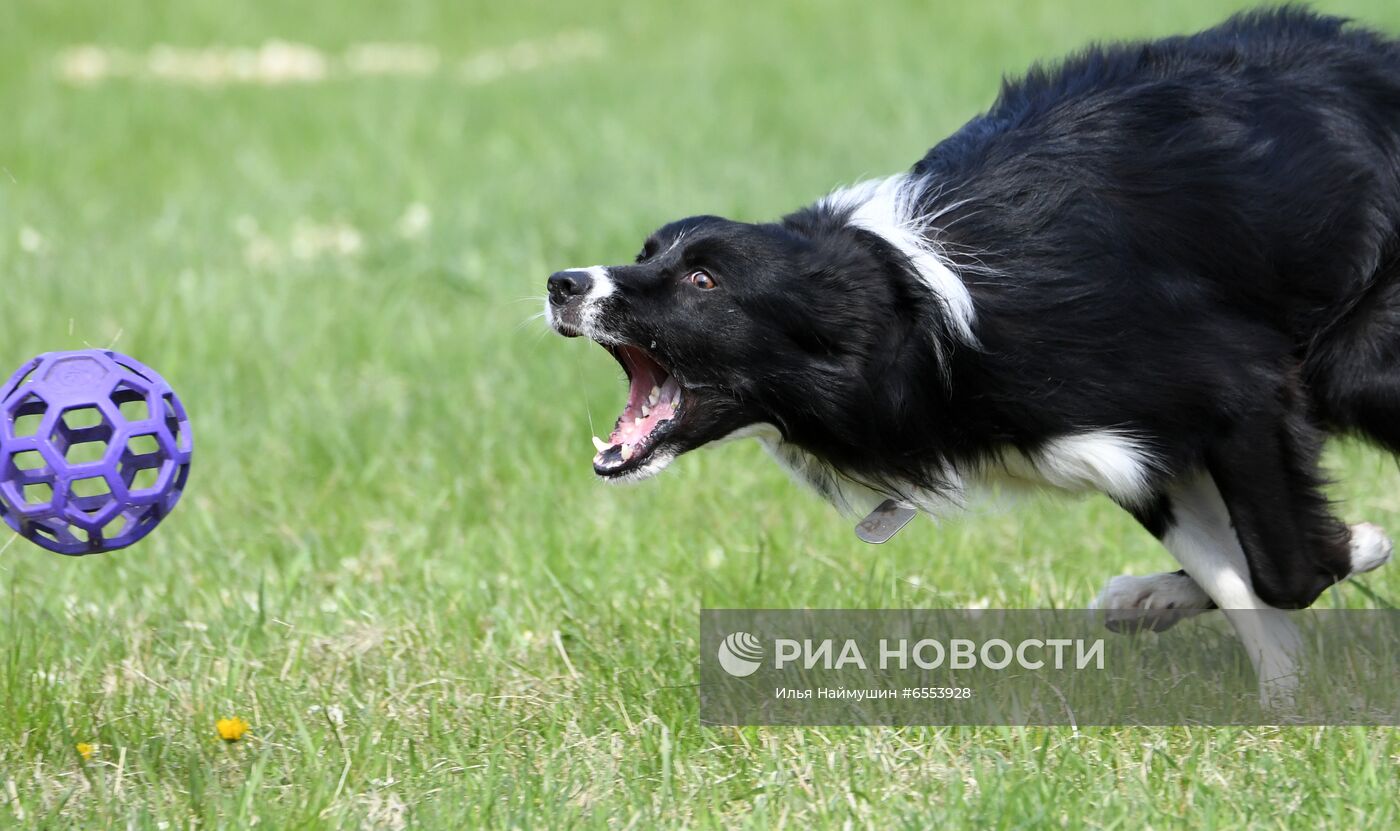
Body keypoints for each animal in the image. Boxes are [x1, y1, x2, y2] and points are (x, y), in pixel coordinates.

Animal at [546, 9, 1400, 702]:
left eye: (703, 279)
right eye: (647, 252)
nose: (562, 283)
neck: (918, 317)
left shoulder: (1237, 386)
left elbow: (1282, 571)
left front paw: (1357, 546)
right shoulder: (1131, 452)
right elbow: (1239, 577)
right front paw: (1275, 693)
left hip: (1361, 364)